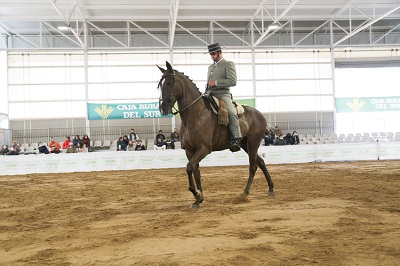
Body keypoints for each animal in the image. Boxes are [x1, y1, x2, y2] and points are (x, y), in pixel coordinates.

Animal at [158, 61, 274, 208]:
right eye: (160, 84)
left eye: (170, 82)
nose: (163, 108)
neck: (196, 114)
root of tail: (260, 115)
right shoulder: (190, 150)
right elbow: (195, 172)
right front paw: (198, 200)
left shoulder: (204, 148)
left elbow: (189, 167)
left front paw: (196, 194)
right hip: (245, 145)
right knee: (262, 162)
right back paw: (271, 189)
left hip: (253, 143)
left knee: (253, 166)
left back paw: (245, 192)